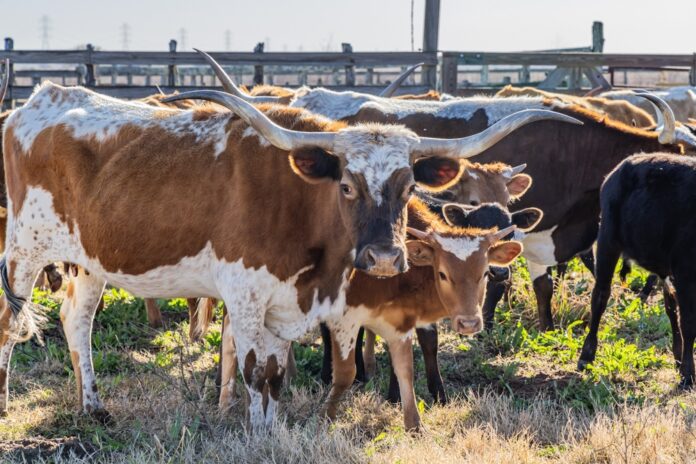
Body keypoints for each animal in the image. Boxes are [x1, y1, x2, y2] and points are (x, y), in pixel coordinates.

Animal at [0, 82, 575, 429]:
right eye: (346, 185)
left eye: (409, 184)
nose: (385, 259)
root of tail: (40, 99)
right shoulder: (245, 294)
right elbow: (257, 372)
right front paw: (258, 435)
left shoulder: (290, 302)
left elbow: (277, 374)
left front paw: (272, 429)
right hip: (24, 249)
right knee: (10, 325)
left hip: (88, 258)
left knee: (76, 322)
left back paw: (93, 407)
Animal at [577, 152, 696, 389]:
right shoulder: (685, 273)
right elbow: (689, 323)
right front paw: (688, 376)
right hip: (608, 239)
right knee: (600, 296)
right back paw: (586, 356)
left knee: (670, 307)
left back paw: (677, 359)